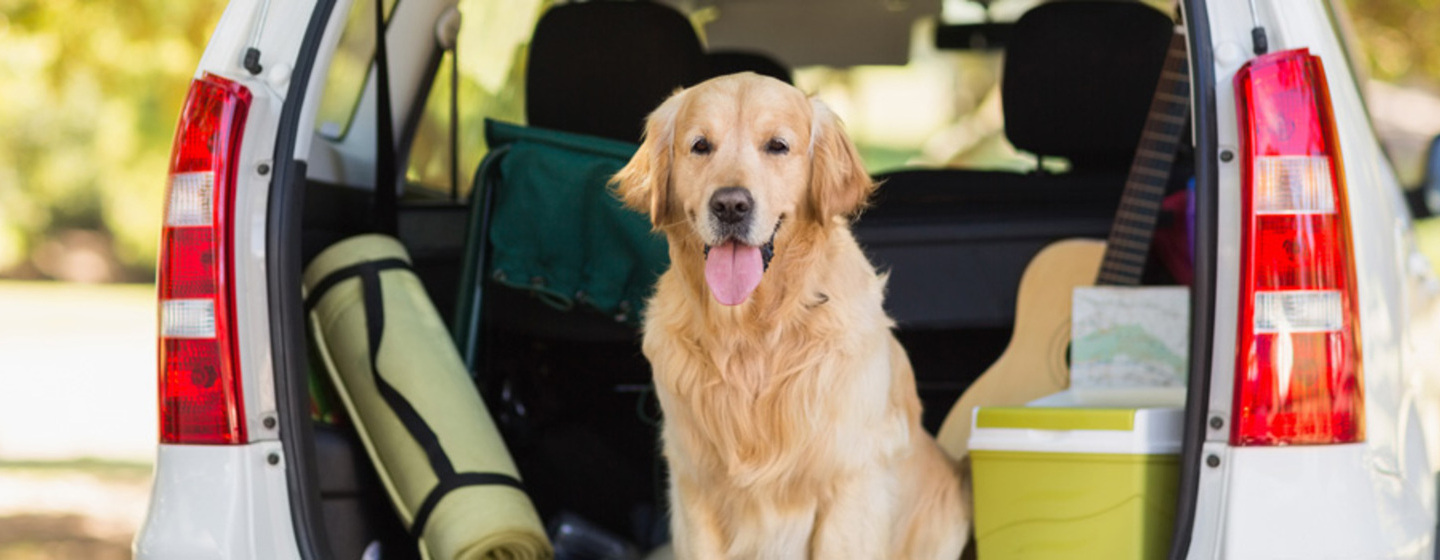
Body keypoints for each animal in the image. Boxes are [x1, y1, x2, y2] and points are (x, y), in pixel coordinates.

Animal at [610, 71, 967, 555]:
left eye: (777, 146)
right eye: (701, 145)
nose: (731, 205)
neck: (754, 333)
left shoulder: (849, 484)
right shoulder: (694, 488)